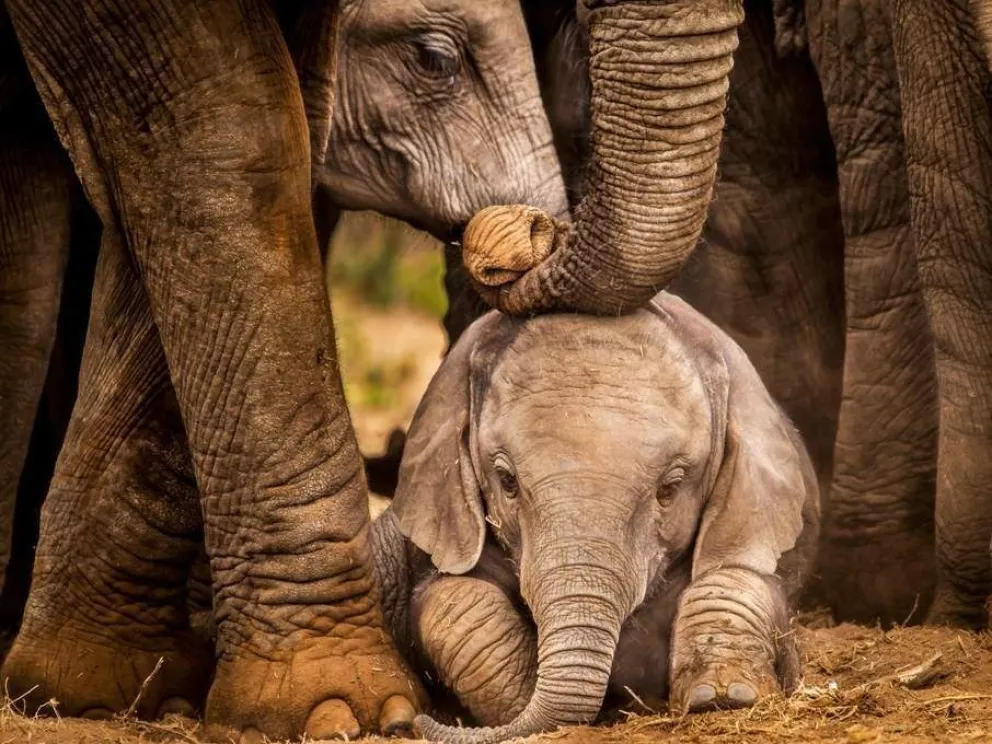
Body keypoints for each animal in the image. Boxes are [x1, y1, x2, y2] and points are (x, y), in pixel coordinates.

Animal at [368, 255, 819, 742]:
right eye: (506, 481)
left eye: (670, 488)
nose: (410, 724)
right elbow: (453, 598)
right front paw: (519, 698)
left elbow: (738, 578)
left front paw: (722, 696)